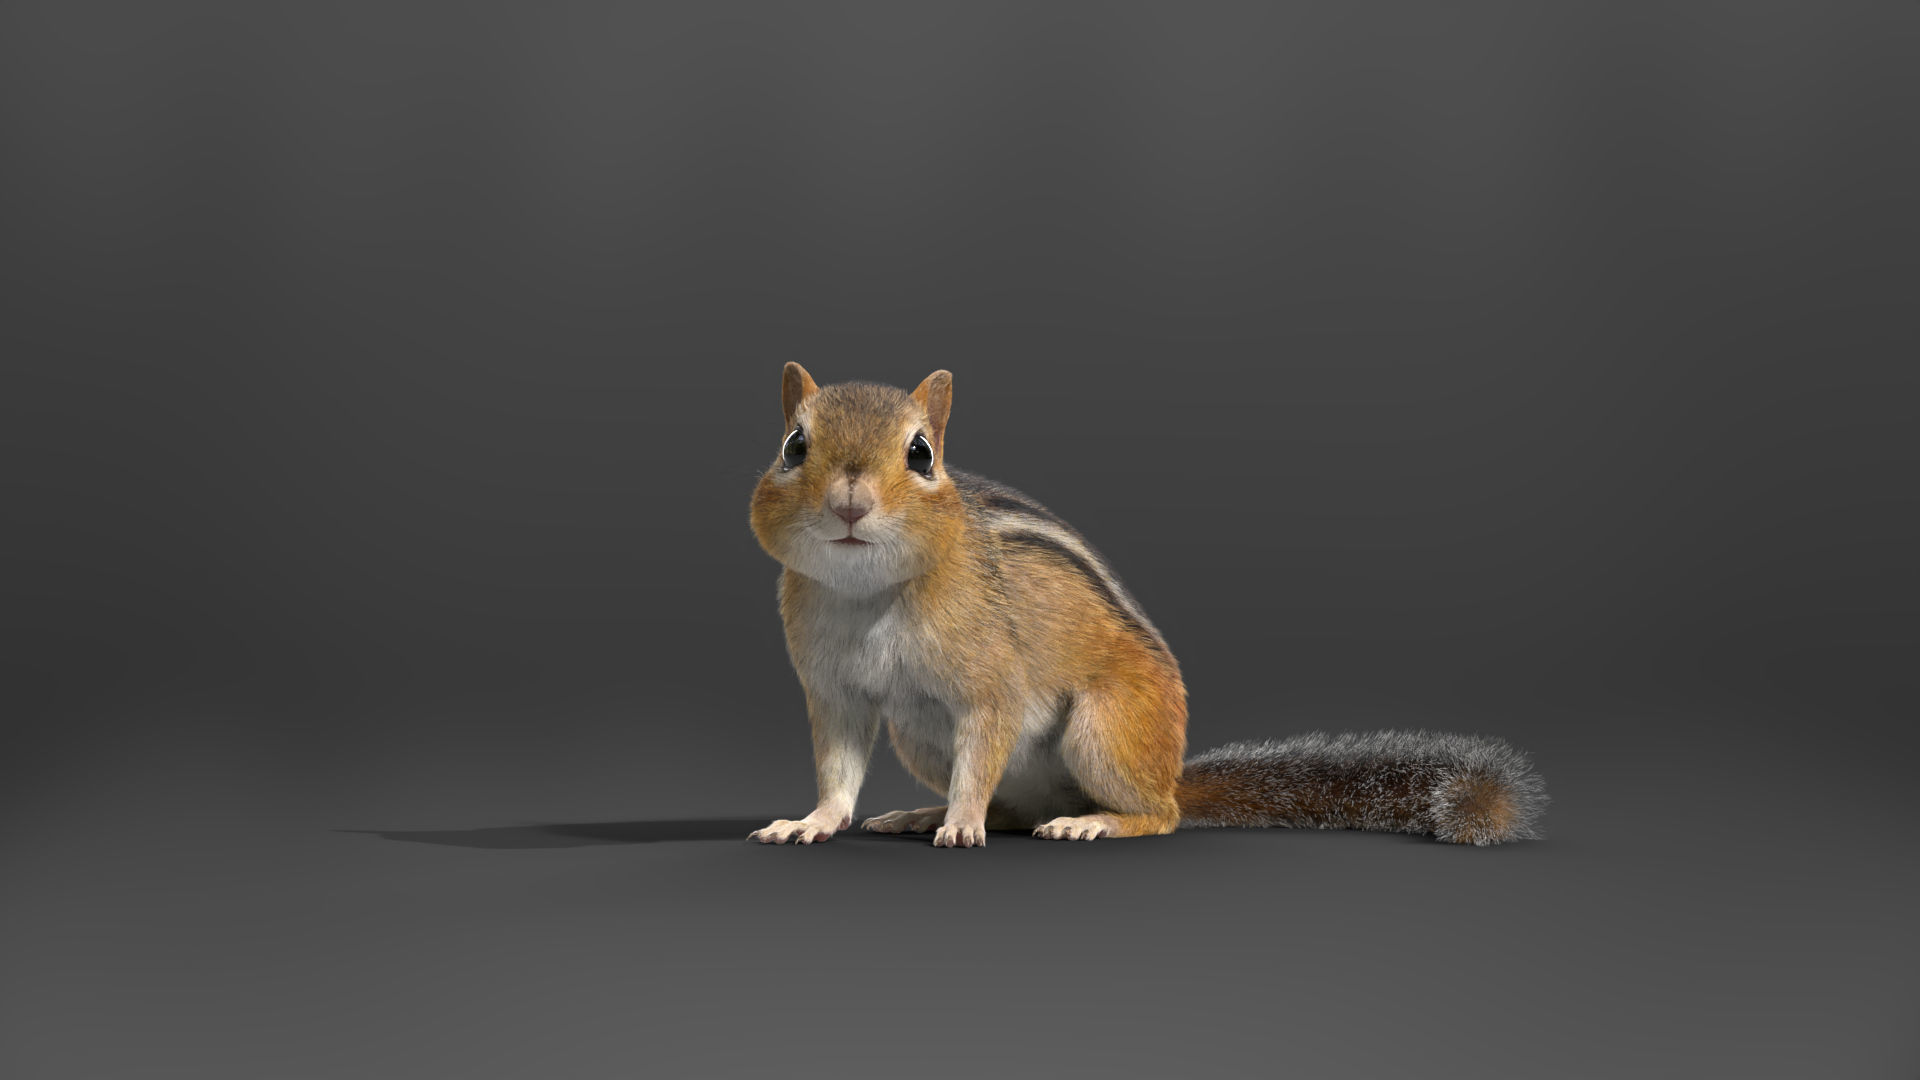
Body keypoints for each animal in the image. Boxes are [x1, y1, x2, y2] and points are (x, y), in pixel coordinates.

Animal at [747, 364, 1547, 848]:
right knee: (1016, 807)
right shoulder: (832, 690)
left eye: (921, 454)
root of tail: (1170, 771)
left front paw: (962, 823)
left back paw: (1090, 823)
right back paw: (923, 812)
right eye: (793, 445)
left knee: (1160, 816)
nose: (849, 501)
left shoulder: (989, 680)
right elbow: (838, 767)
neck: (866, 592)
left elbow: (984, 747)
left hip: (1104, 731)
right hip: (921, 738)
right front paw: (813, 821)